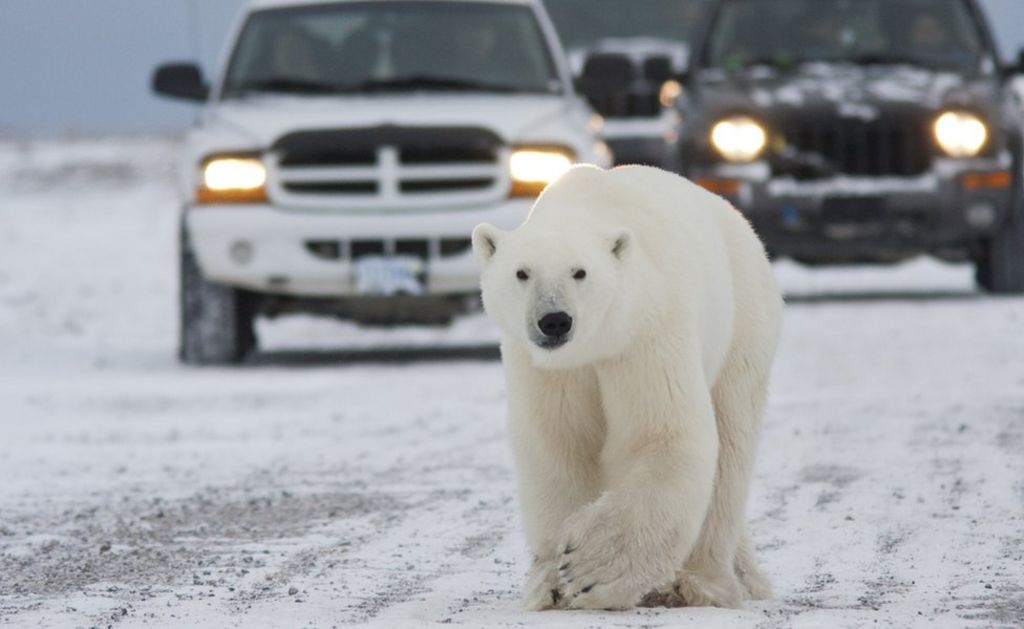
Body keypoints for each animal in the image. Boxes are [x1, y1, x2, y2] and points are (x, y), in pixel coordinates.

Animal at [473, 165, 782, 610]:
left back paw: (702, 583)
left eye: (580, 272)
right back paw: (743, 575)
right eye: (522, 272)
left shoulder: (645, 331)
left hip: (742, 323)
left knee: (731, 441)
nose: (554, 321)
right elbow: (557, 445)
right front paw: (550, 583)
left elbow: (661, 435)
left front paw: (590, 569)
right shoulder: (548, 370)